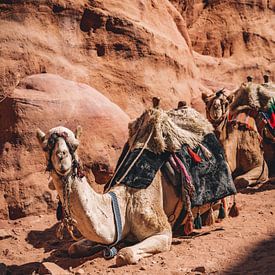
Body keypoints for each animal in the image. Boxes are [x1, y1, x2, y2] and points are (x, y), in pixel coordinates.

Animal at [35, 100, 236, 266]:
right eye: (46, 146)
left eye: (74, 145)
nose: (62, 157)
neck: (122, 205)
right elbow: (73, 247)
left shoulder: (163, 232)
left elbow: (126, 254)